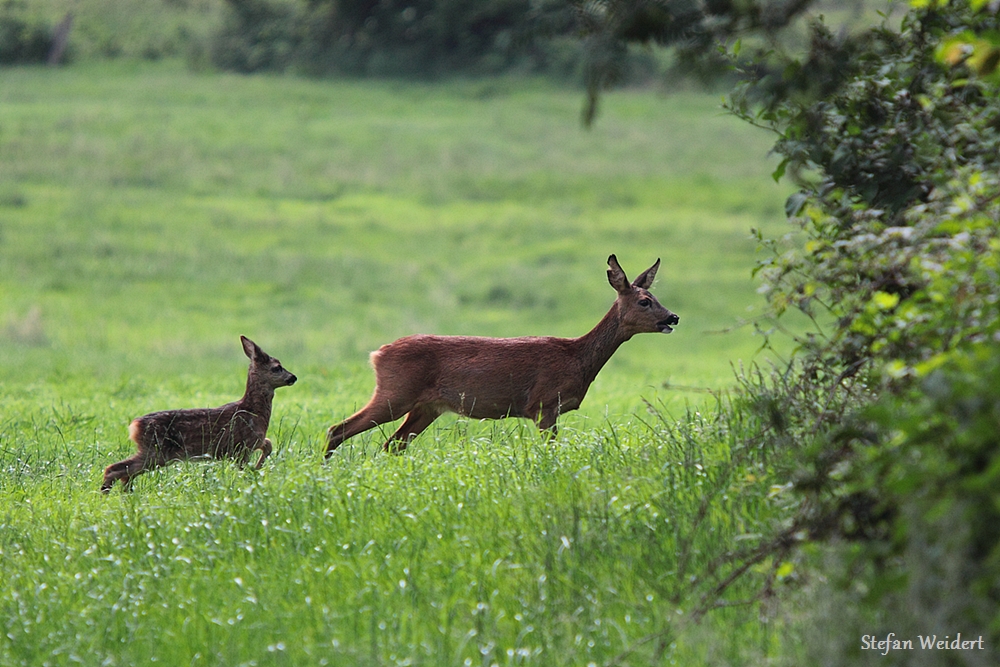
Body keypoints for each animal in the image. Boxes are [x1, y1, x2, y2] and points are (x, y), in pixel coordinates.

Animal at [102, 336, 296, 494]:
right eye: (277, 368)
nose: (293, 377)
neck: (253, 411)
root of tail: (134, 425)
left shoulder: (251, 443)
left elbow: (268, 444)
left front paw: (257, 469)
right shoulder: (241, 447)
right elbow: (248, 464)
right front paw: (253, 473)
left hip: (154, 452)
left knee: (125, 474)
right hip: (156, 451)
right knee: (115, 469)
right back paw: (106, 494)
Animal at [328, 253, 680, 456]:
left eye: (656, 296)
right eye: (645, 301)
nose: (673, 317)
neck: (577, 358)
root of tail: (378, 353)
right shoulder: (543, 404)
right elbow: (552, 453)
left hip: (426, 406)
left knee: (393, 445)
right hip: (395, 392)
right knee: (338, 429)